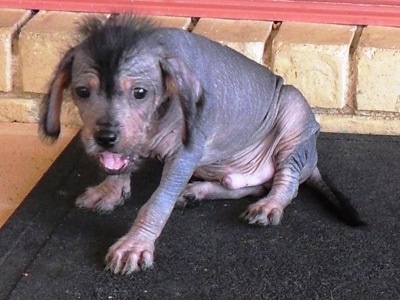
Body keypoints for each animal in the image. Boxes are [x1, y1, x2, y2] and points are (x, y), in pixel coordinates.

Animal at [39, 15, 364, 274]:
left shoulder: (185, 154)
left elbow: (156, 203)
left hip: (294, 118)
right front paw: (110, 188)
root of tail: (313, 161)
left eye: (140, 93)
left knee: (287, 181)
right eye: (82, 92)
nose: (105, 138)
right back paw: (197, 192)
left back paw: (270, 204)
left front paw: (135, 244)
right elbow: (120, 164)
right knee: (246, 185)